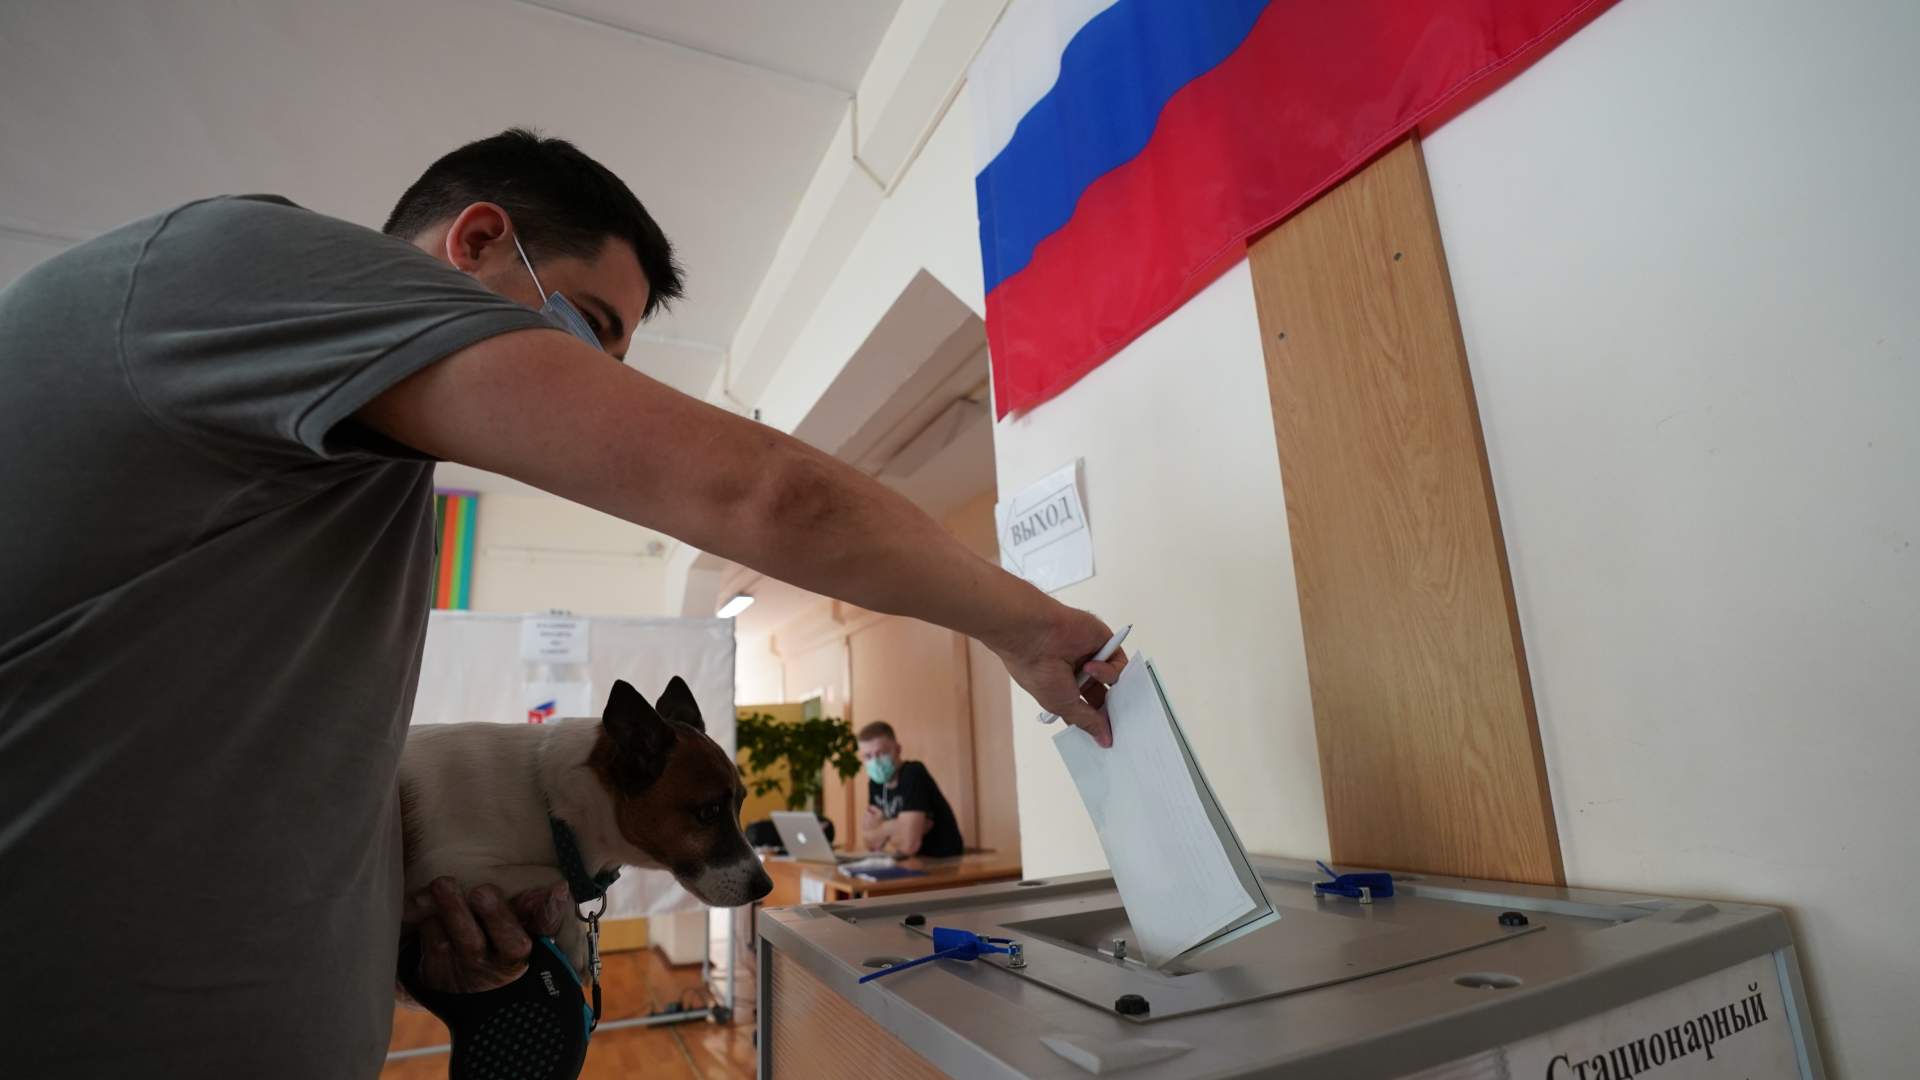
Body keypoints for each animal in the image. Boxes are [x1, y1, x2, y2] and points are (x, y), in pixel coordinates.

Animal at [399, 676, 773, 973]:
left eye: (739, 803)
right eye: (709, 812)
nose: (766, 887)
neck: (548, 802)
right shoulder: (447, 866)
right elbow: (558, 877)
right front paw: (574, 937)